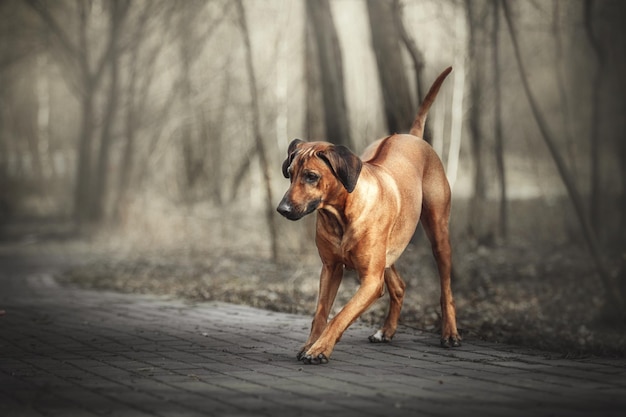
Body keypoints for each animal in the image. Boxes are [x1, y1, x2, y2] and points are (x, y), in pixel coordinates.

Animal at [276, 66, 458, 362]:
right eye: (290, 174)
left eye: (311, 176)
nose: (282, 209)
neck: (340, 215)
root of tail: (412, 136)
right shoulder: (330, 268)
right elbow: (320, 314)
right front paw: (310, 344)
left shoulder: (371, 281)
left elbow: (340, 315)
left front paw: (320, 349)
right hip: (389, 249)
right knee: (399, 286)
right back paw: (386, 331)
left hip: (438, 233)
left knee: (446, 289)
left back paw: (450, 333)